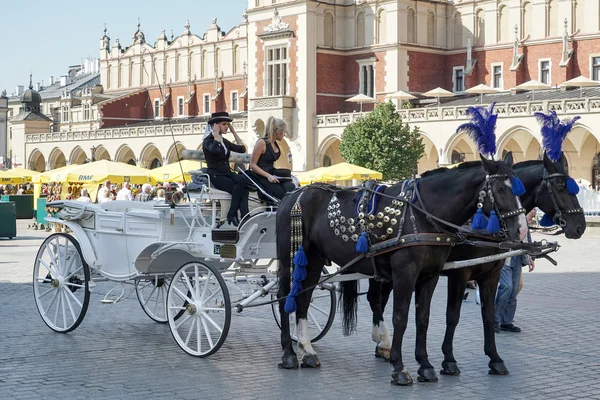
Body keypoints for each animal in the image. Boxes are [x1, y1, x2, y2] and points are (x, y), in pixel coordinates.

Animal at [274, 155, 528, 384]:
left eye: (520, 190)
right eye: (500, 188)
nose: (522, 230)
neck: (422, 214)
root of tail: (292, 195)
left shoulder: (432, 276)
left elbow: (424, 318)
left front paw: (425, 365)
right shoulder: (410, 274)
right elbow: (401, 317)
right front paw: (400, 368)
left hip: (314, 259)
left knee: (304, 298)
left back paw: (307, 351)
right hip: (289, 259)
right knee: (284, 297)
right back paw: (289, 354)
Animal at [366, 152, 584, 376]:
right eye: (560, 186)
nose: (580, 227)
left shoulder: (491, 274)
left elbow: (488, 314)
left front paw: (495, 358)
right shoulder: (460, 273)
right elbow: (453, 315)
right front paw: (449, 359)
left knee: (378, 299)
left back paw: (382, 344)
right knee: (376, 299)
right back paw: (383, 341)